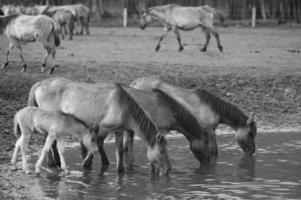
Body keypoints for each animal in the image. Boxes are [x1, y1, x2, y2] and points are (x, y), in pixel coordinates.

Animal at [27, 77, 216, 171]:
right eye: (207, 145)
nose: (209, 162)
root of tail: (40, 83)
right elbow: (100, 144)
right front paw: (88, 163)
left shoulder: (121, 130)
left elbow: (120, 149)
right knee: (50, 141)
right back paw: (53, 163)